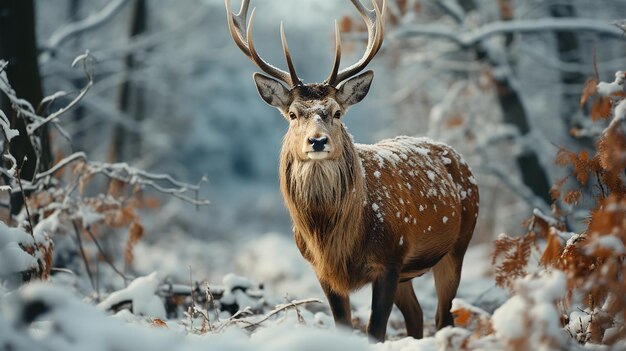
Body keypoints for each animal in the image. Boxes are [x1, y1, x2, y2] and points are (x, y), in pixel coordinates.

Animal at [224, 0, 478, 342]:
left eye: (336, 112)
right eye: (292, 113)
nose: (317, 141)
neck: (335, 242)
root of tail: (458, 158)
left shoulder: (389, 258)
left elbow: (375, 330)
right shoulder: (323, 271)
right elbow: (343, 325)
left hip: (459, 244)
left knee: (443, 316)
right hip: (409, 272)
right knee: (417, 315)